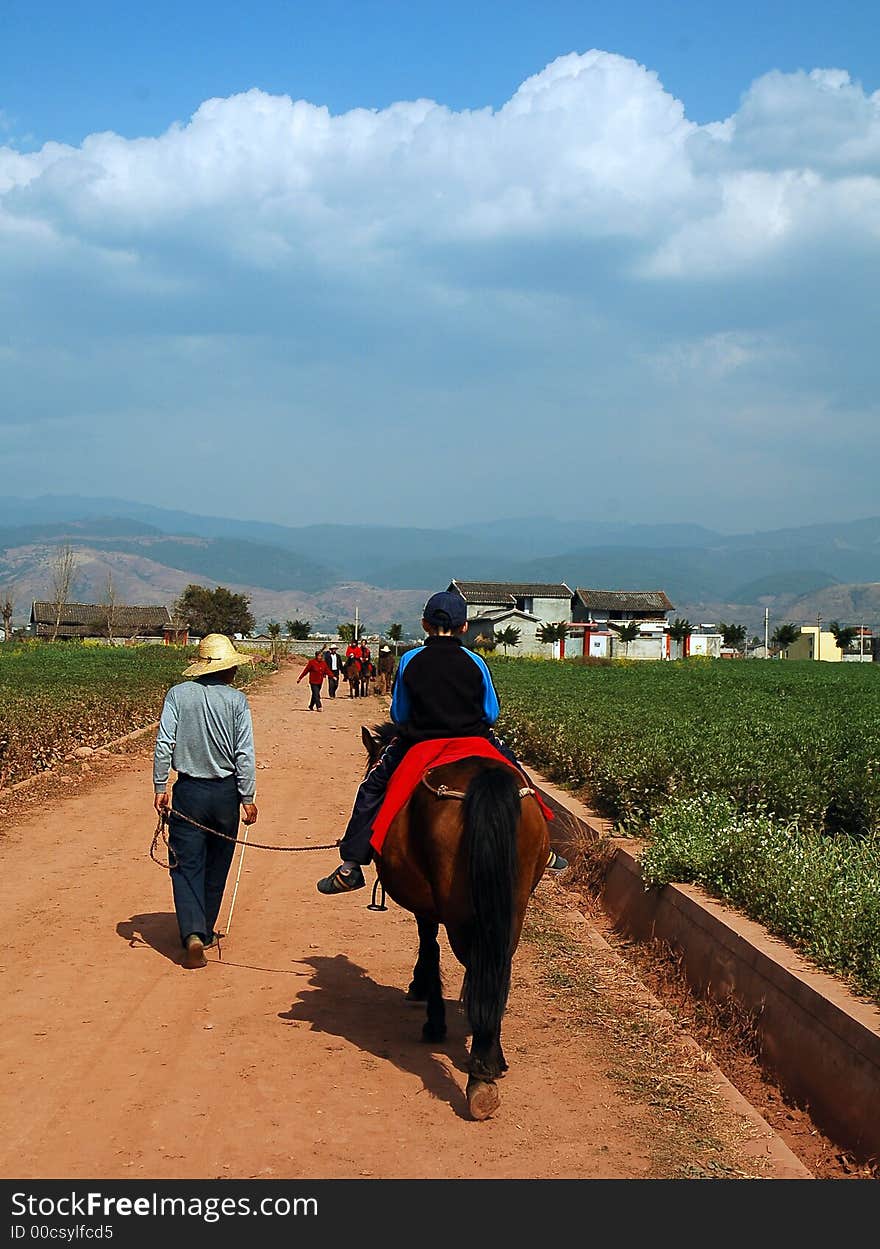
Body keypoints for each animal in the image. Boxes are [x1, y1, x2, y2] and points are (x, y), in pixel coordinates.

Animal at [359, 724, 546, 1124]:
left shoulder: (427, 908)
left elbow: (429, 949)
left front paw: (431, 1015)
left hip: (460, 912)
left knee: (478, 964)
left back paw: (480, 1077)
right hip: (511, 903)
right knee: (497, 965)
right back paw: (491, 1058)